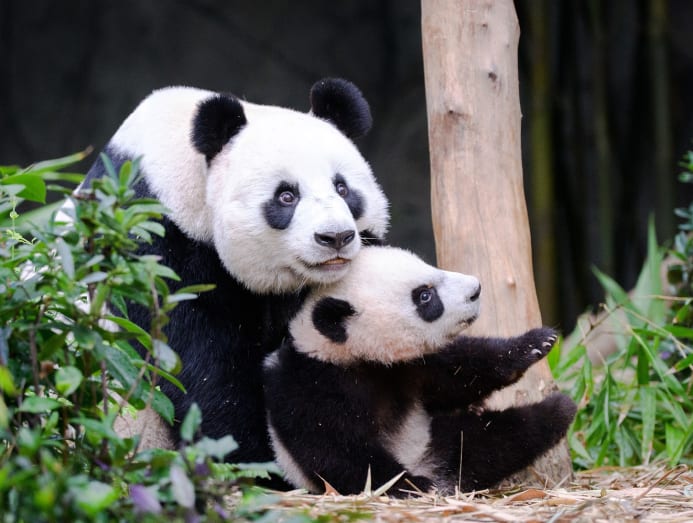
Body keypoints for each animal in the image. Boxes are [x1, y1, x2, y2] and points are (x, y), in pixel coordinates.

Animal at [81, 79, 390, 466]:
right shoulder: (149, 243)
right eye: (286, 196)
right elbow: (199, 365)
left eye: (342, 188)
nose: (335, 237)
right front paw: (255, 458)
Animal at [262, 248, 576, 498]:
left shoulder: (413, 365)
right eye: (425, 296)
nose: (476, 289)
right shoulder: (312, 387)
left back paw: (558, 409)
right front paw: (412, 486)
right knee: (487, 442)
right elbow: (338, 451)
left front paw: (534, 344)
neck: (349, 356)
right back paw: (555, 411)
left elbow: (460, 372)